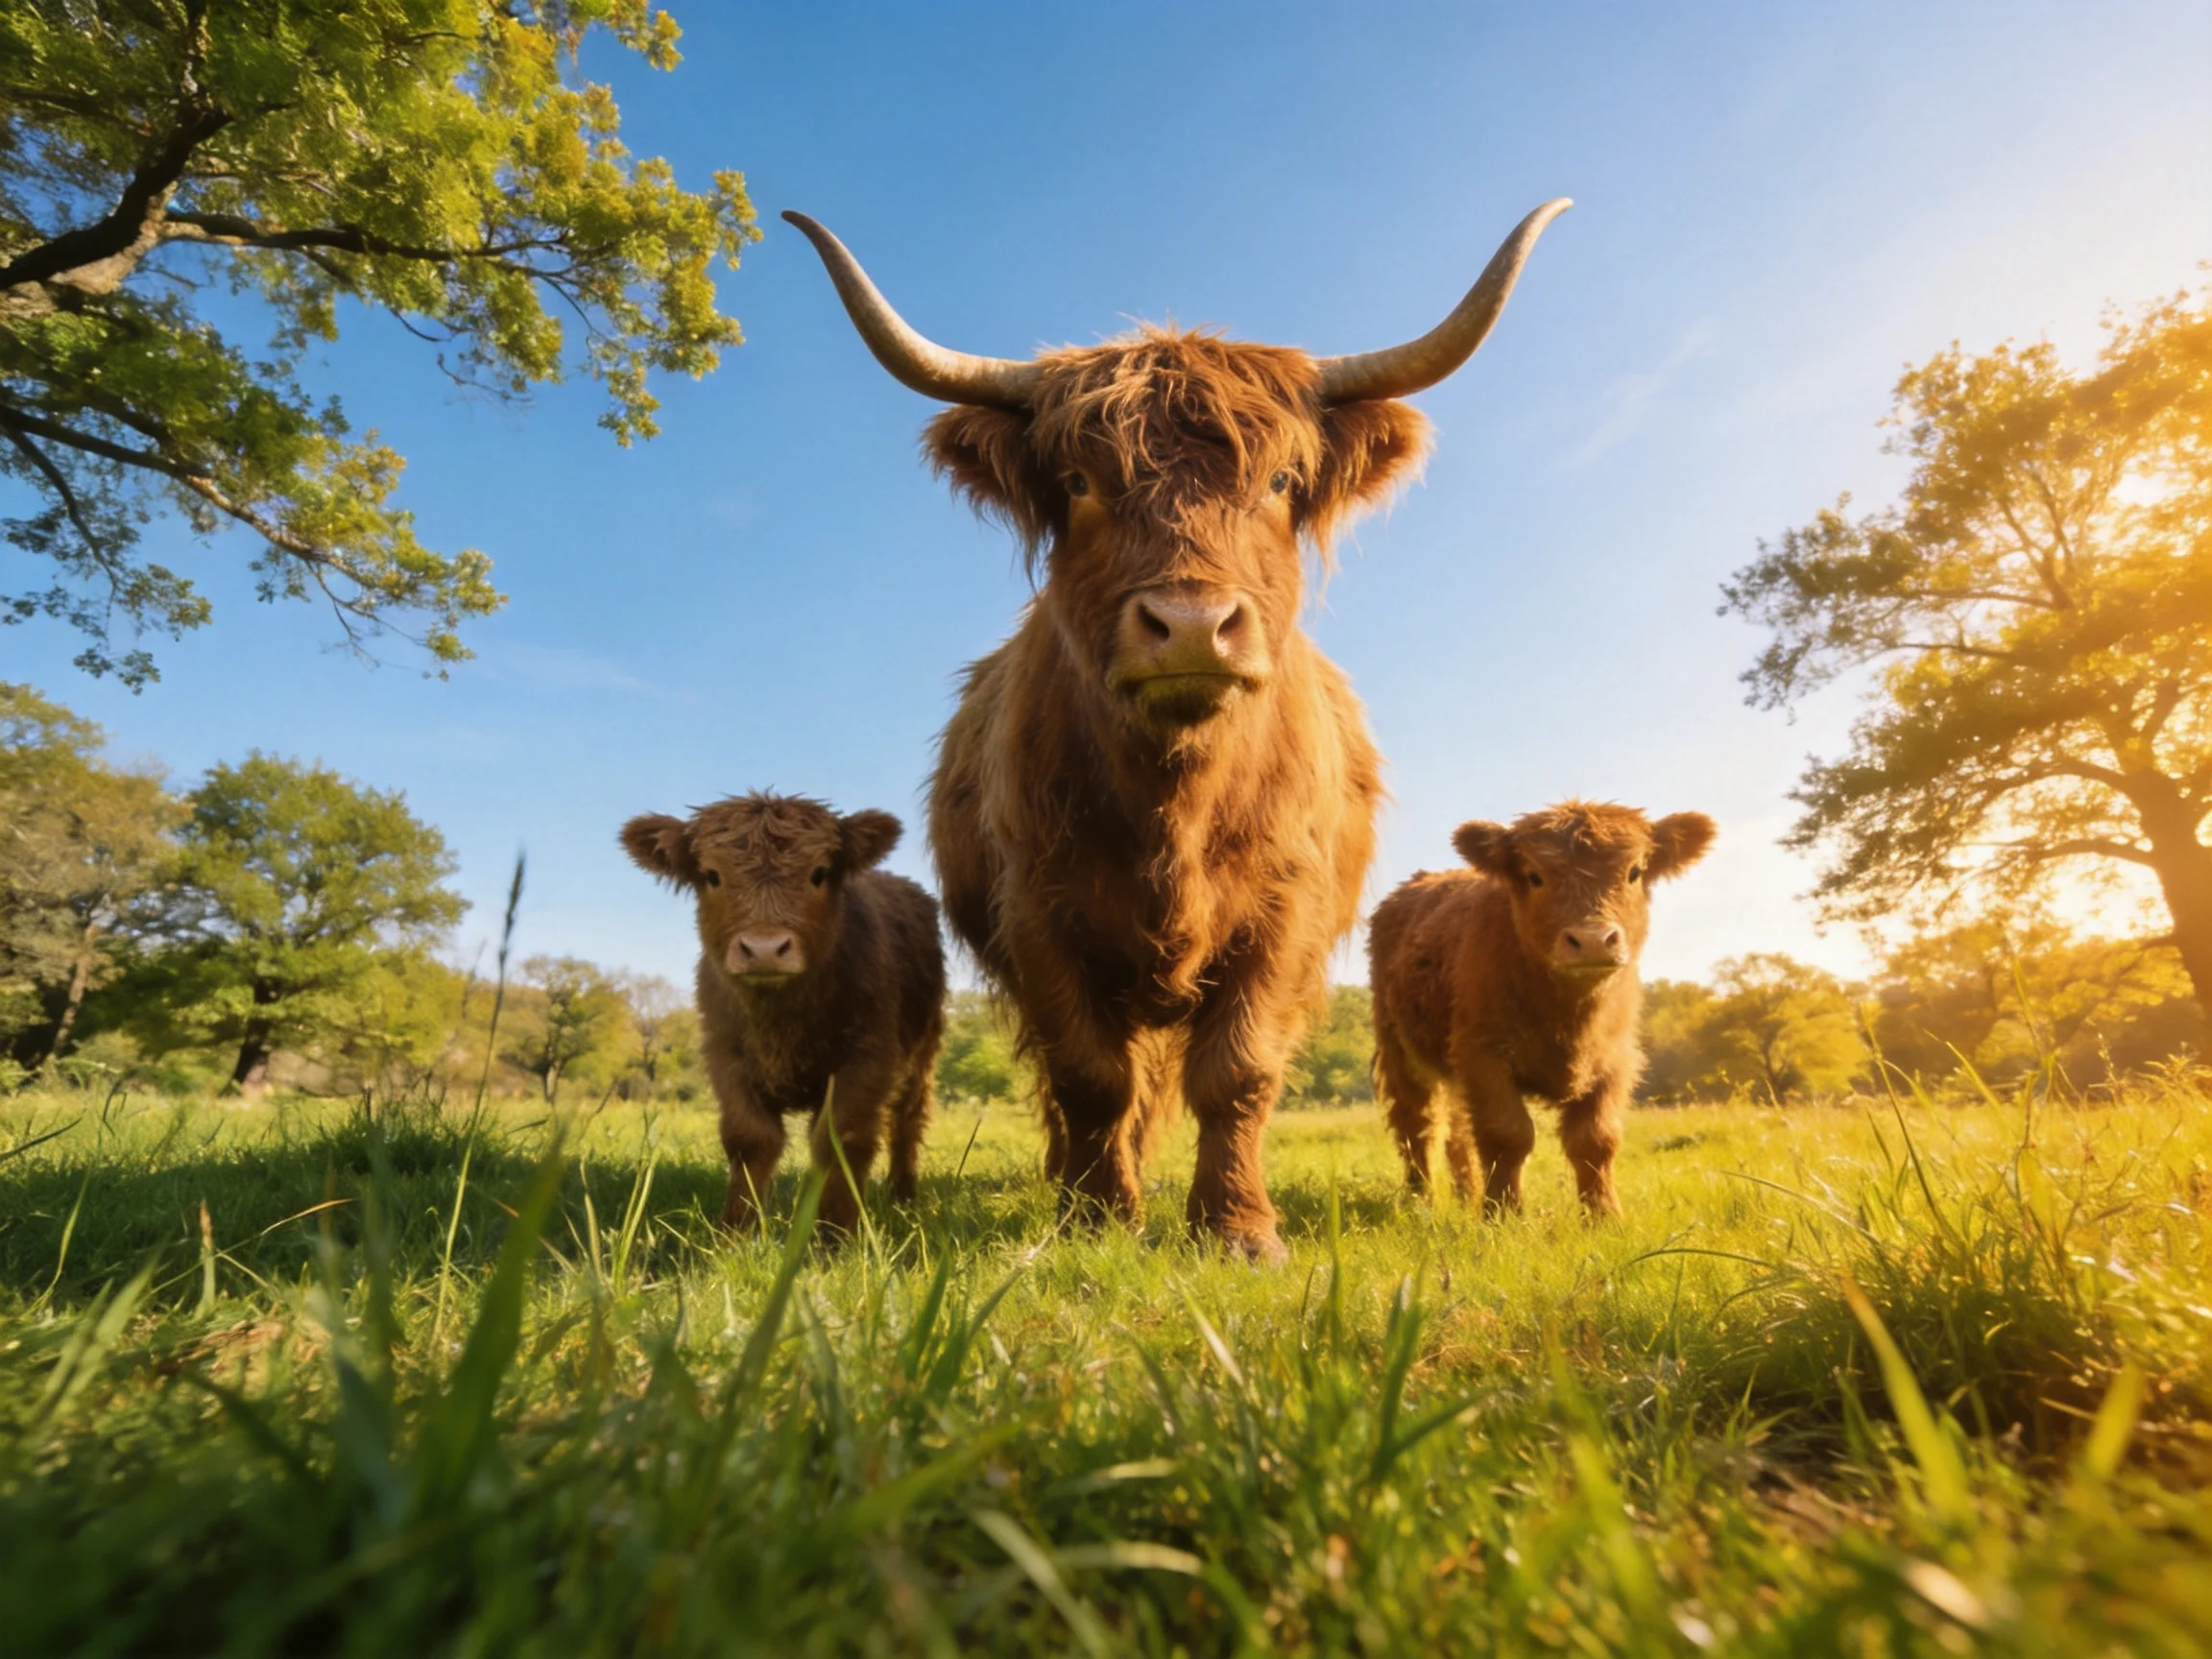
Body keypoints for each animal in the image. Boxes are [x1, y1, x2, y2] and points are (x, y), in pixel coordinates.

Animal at [619, 793, 945, 1239]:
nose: (764, 949)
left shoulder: (866, 1057)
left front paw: (837, 1232)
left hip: (923, 1051)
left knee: (908, 1121)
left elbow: (840, 1138)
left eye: (819, 873)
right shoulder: (725, 1055)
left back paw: (904, 1198)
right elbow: (750, 1138)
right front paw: (734, 1230)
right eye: (712, 876)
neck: (780, 1023)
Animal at [785, 201, 1570, 1261]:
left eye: (1280, 482)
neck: (1177, 800)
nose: (1192, 625)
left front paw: (1236, 1228)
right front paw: (1095, 1216)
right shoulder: (1041, 915)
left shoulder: (1284, 913)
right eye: (1079, 481)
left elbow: (1236, 1072)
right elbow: (1090, 1077)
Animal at [1367, 801, 1716, 1219]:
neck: (1570, 1016)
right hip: (1399, 1051)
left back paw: (1467, 1195)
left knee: (1457, 1133)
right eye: (1535, 876)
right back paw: (1422, 1202)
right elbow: (1507, 1135)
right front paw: (1503, 1214)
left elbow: (1595, 1138)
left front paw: (1604, 1216)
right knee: (1418, 1126)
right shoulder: (1484, 1055)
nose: (1592, 940)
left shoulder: (1616, 1059)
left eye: (1634, 871)